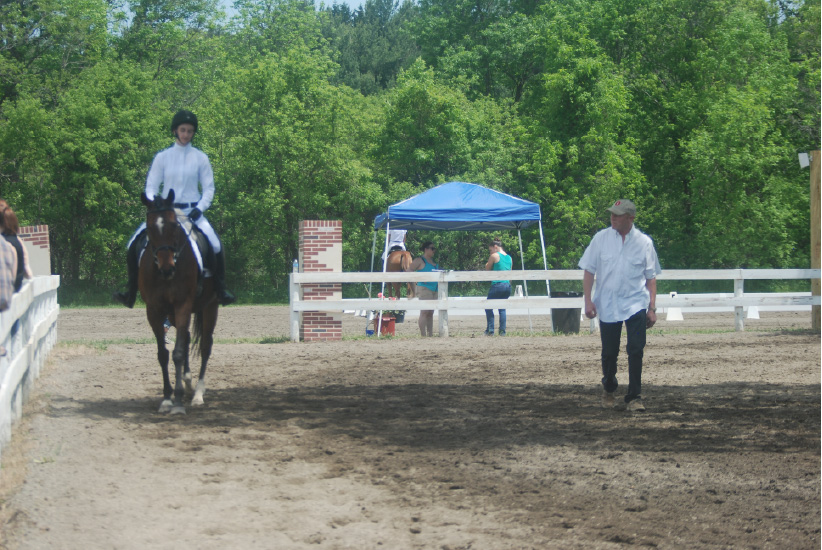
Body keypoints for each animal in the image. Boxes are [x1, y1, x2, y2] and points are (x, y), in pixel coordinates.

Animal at [140, 190, 220, 414]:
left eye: (174, 226)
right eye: (149, 228)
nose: (167, 268)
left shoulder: (183, 305)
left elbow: (176, 353)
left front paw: (176, 401)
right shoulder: (154, 310)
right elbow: (163, 353)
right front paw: (167, 398)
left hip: (210, 307)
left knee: (205, 345)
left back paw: (198, 393)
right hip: (172, 314)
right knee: (186, 337)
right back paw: (187, 380)